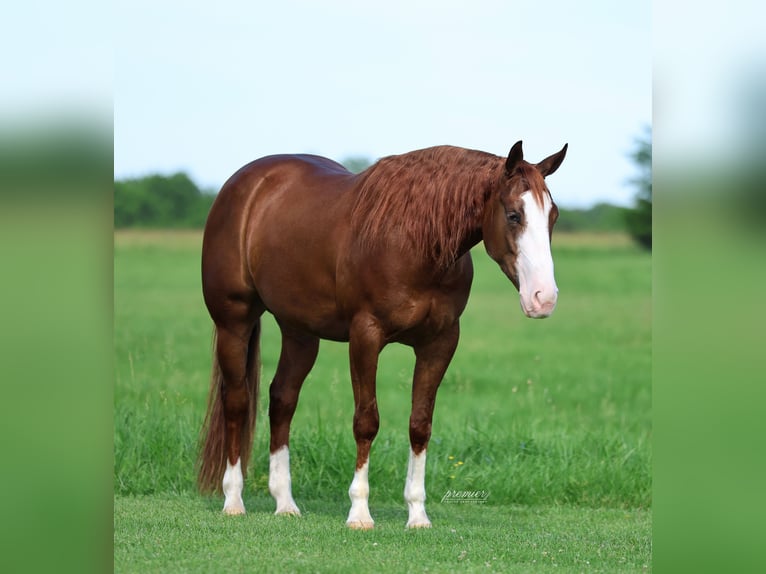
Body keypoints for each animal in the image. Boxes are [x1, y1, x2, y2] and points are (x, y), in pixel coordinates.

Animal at [198, 140, 567, 529]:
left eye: (553, 216)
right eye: (513, 215)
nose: (544, 298)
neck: (416, 242)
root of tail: (246, 183)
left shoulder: (440, 343)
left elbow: (420, 424)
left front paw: (417, 514)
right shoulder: (366, 337)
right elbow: (366, 421)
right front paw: (359, 513)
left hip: (299, 332)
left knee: (282, 399)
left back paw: (285, 502)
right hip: (234, 321)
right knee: (237, 401)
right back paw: (233, 499)